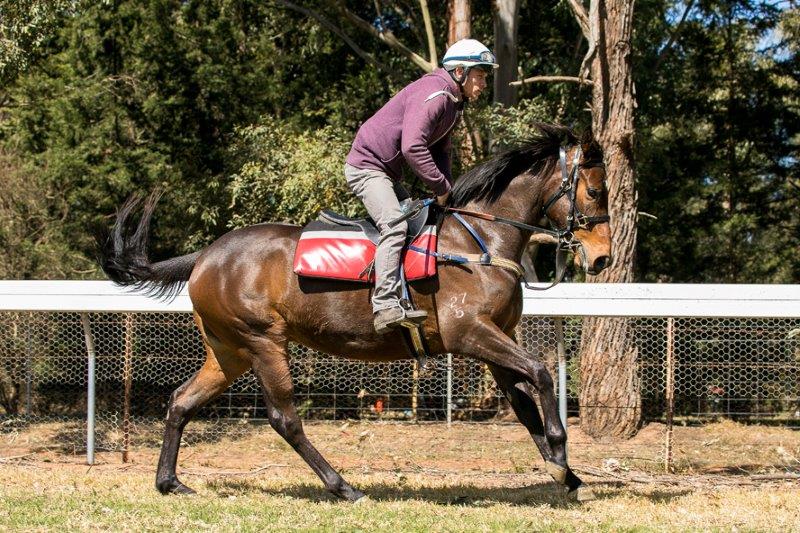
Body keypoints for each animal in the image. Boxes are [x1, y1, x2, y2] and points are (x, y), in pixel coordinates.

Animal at [98, 123, 612, 502]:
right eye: (593, 191)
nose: (603, 257)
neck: (477, 241)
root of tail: (204, 256)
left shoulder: (494, 338)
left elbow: (524, 404)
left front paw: (564, 473)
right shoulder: (471, 333)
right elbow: (542, 374)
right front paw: (561, 454)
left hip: (229, 352)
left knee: (181, 401)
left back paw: (170, 483)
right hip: (263, 342)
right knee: (285, 418)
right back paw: (343, 486)